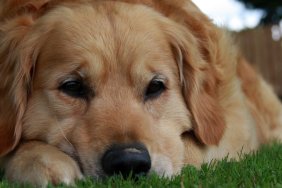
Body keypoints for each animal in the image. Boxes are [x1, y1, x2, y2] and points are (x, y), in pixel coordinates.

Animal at [0, 0, 282, 186]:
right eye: (72, 87)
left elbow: (186, 150)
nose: (128, 163)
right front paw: (40, 160)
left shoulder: (232, 125)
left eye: (155, 86)